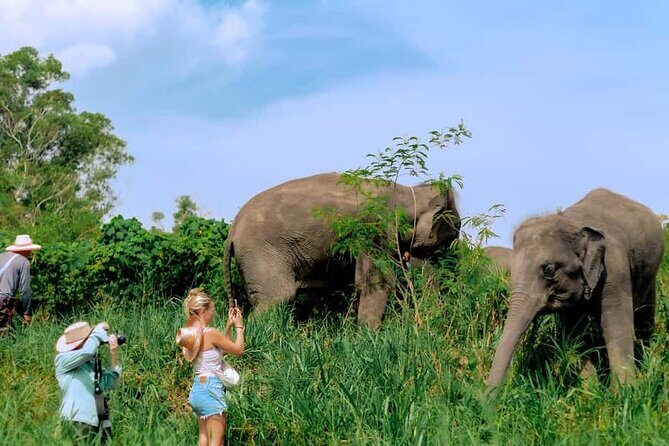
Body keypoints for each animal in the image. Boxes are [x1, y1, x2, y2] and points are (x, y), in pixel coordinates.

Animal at [223, 172, 460, 327]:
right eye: (450, 237)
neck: (407, 191)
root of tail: (233, 230)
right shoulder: (376, 229)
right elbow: (375, 282)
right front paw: (369, 336)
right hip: (261, 253)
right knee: (276, 298)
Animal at [486, 188, 664, 390]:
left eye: (549, 270)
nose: (486, 399)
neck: (571, 222)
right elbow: (576, 334)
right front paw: (589, 392)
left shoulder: (615, 270)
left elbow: (616, 326)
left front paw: (624, 392)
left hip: (649, 276)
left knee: (644, 319)